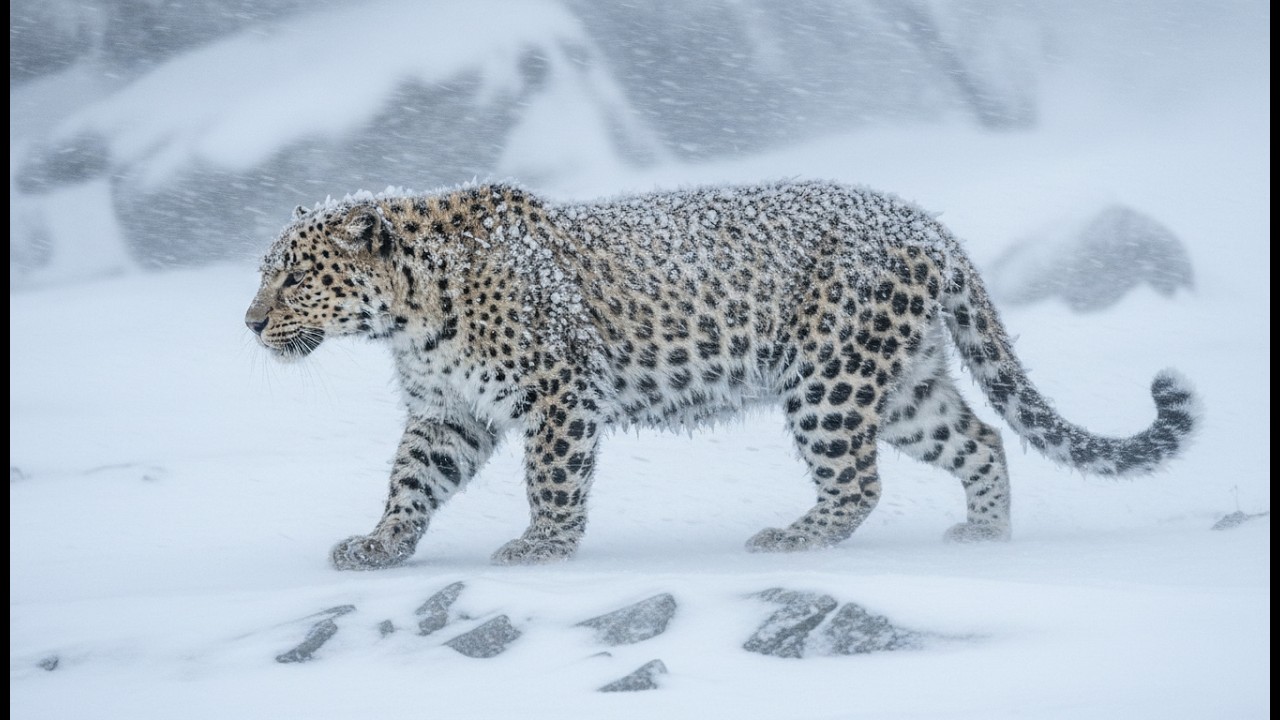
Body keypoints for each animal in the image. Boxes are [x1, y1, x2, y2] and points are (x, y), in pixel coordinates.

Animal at [244, 180, 1199, 569]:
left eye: (291, 277)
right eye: (267, 273)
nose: (249, 323)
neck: (411, 315)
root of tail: (923, 223)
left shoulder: (559, 393)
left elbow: (552, 480)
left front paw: (541, 548)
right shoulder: (450, 412)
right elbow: (412, 480)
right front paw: (380, 545)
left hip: (829, 376)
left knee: (858, 482)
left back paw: (792, 538)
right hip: (902, 385)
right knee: (981, 438)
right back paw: (984, 536)